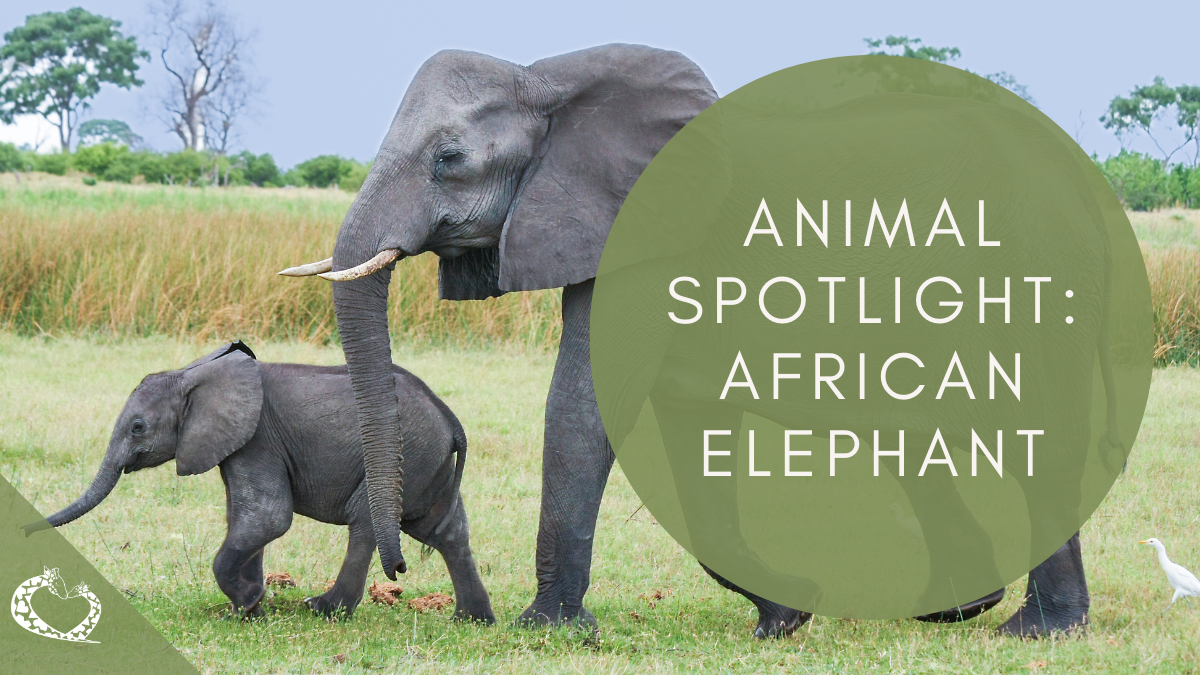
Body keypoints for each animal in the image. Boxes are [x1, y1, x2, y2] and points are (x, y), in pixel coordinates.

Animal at [26, 341, 494, 623]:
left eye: (138, 427)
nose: (25, 531)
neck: (195, 374)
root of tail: (450, 419)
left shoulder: (258, 439)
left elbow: (268, 518)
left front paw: (248, 604)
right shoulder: (238, 445)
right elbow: (244, 518)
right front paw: (249, 608)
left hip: (405, 455)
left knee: (366, 522)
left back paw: (323, 609)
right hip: (426, 464)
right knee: (446, 531)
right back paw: (472, 620)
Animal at [278, 44, 1111, 637]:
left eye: (448, 159)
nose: (398, 567)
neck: (546, 78)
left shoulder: (648, 241)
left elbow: (586, 403)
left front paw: (548, 630)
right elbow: (689, 432)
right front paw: (787, 616)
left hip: (1034, 277)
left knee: (1038, 441)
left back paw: (1038, 633)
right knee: (917, 440)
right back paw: (957, 611)